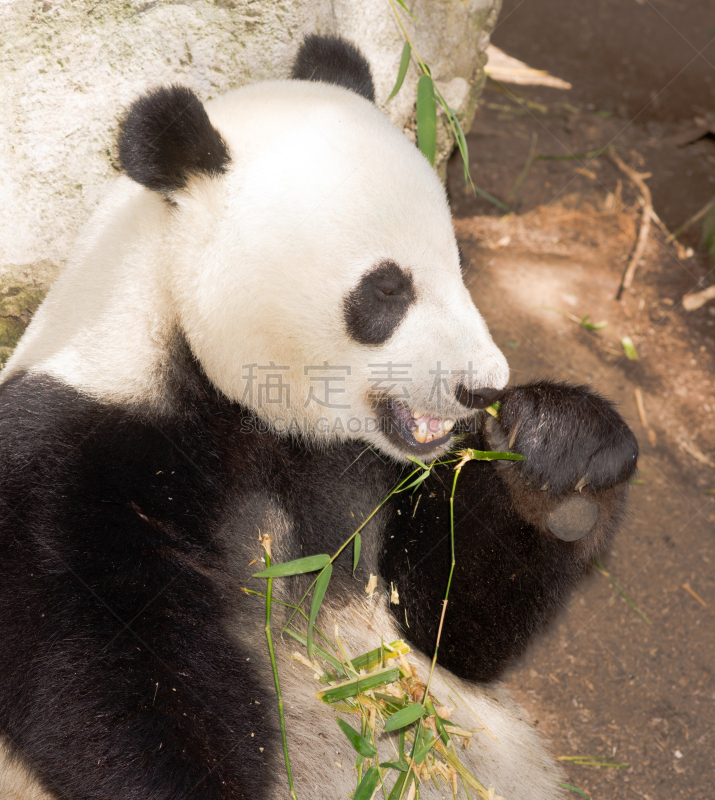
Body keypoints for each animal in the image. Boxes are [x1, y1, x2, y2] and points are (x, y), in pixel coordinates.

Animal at [0, 34, 636, 800]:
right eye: (387, 290)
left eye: (459, 265)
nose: (478, 388)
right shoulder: (72, 456)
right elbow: (110, 686)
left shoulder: (363, 470)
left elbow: (447, 625)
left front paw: (557, 451)